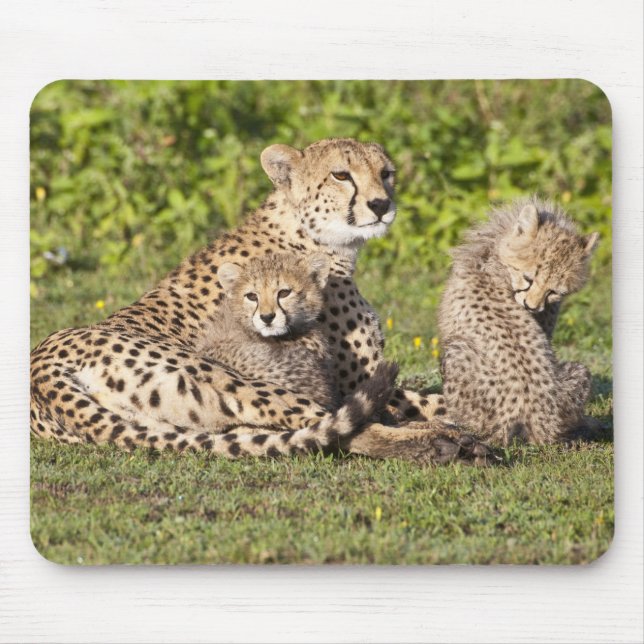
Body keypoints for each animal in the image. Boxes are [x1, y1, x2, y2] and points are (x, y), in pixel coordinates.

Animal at [30, 137, 492, 464]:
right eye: (342, 175)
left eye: (387, 173)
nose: (382, 204)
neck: (313, 237)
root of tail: (43, 368)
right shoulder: (348, 380)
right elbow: (427, 400)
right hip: (231, 378)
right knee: (341, 427)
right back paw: (445, 444)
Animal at [437, 197, 600, 445]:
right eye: (528, 278)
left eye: (554, 291)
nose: (532, 307)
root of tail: (535, 419)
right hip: (578, 370)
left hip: (457, 351)